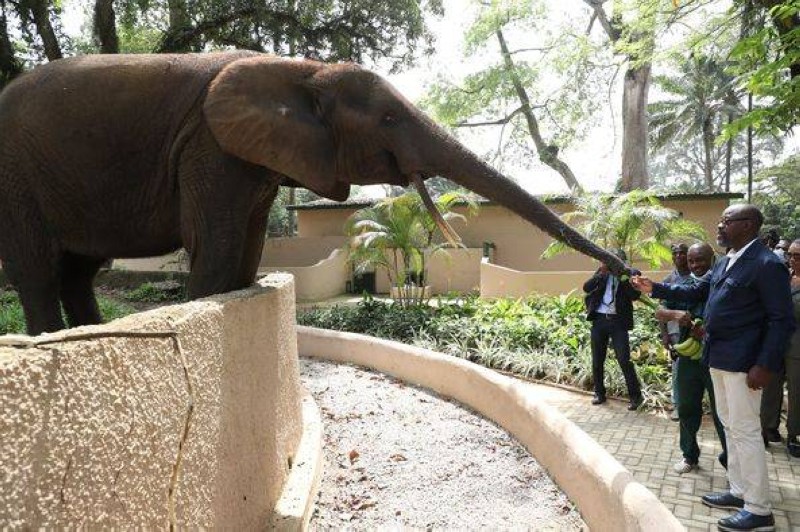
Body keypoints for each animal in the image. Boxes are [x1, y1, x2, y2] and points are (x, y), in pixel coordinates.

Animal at [0, 48, 624, 332]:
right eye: (390, 120)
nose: (627, 271)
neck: (300, 69)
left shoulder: (247, 160)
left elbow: (246, 255)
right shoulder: (211, 148)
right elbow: (215, 251)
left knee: (78, 269)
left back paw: (91, 331)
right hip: (16, 174)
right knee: (37, 269)